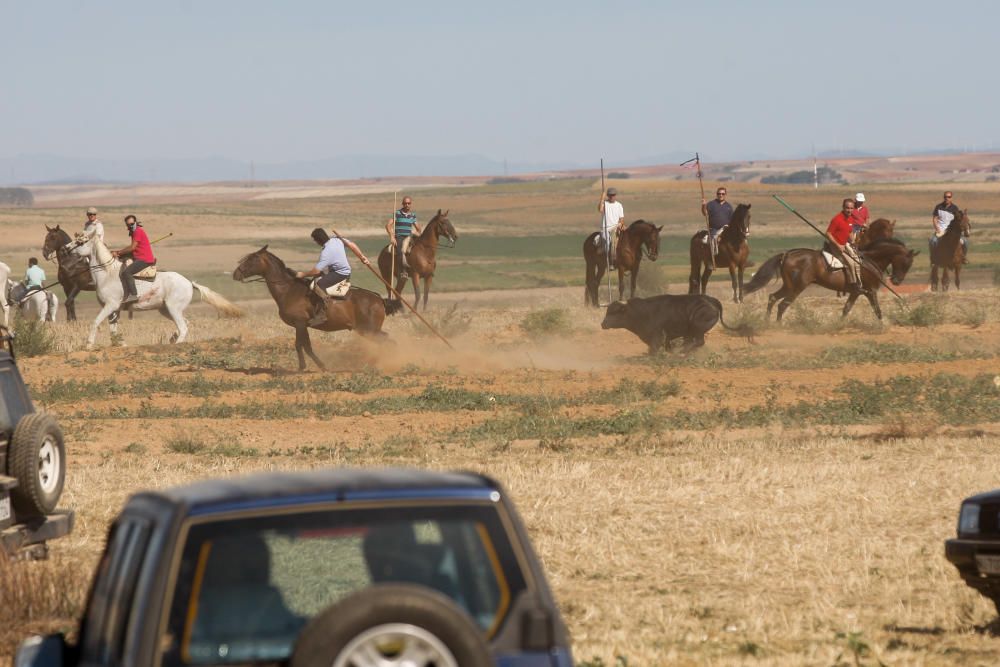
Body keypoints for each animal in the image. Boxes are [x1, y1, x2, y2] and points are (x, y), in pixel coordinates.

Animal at [71, 234, 244, 348]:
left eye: (82, 241)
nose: (67, 248)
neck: (107, 274)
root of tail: (189, 283)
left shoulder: (110, 305)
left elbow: (95, 322)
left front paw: (89, 344)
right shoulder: (115, 309)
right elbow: (113, 329)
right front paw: (120, 344)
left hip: (173, 308)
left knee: (183, 326)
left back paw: (176, 343)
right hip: (166, 309)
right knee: (185, 323)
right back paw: (173, 338)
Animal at [234, 245, 402, 370]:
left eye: (252, 259)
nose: (236, 274)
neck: (288, 289)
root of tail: (379, 299)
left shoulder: (300, 323)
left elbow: (302, 345)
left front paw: (313, 366)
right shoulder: (301, 325)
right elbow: (303, 345)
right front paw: (311, 366)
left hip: (369, 330)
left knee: (389, 341)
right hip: (367, 330)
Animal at [596, 294, 752, 354]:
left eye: (613, 312)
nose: (603, 324)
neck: (640, 312)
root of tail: (710, 299)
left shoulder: (657, 338)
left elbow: (654, 349)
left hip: (697, 329)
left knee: (698, 342)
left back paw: (683, 351)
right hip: (691, 332)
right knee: (694, 342)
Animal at [748, 239, 916, 322]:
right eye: (907, 263)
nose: (896, 281)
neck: (870, 261)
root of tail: (787, 254)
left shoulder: (856, 292)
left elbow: (846, 309)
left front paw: (838, 326)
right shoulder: (870, 291)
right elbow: (877, 310)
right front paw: (882, 327)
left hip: (789, 286)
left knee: (773, 298)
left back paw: (766, 323)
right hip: (797, 287)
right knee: (783, 304)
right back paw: (777, 326)